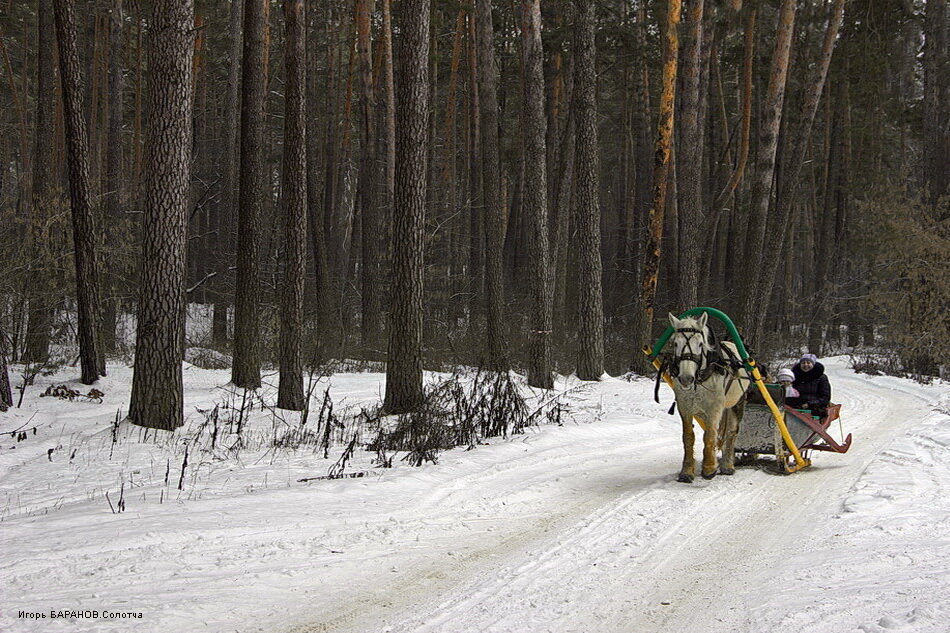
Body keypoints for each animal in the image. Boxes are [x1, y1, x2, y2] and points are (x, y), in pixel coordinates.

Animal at [664, 314, 748, 482]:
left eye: (700, 344)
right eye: (675, 343)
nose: (686, 379)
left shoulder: (714, 408)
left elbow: (709, 435)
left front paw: (709, 468)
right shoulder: (685, 406)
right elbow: (688, 437)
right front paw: (686, 471)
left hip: (737, 402)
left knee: (731, 431)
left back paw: (728, 465)